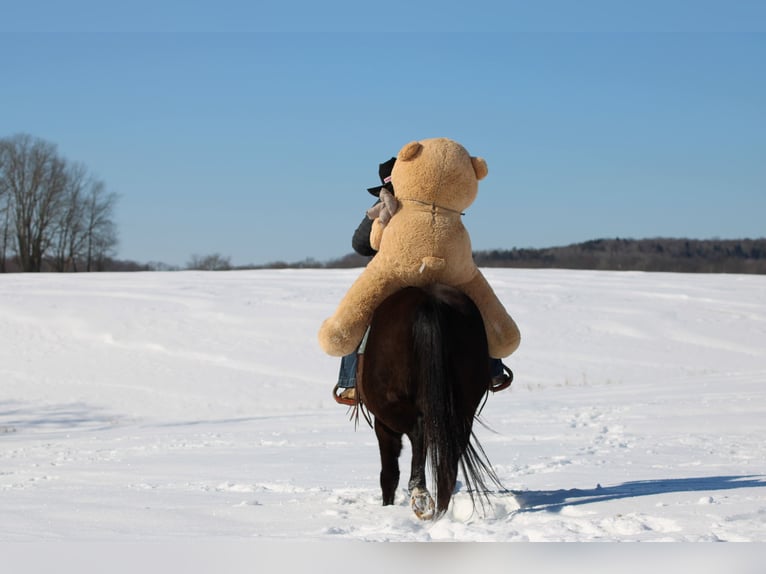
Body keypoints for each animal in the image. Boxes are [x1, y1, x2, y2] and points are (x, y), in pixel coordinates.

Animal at [355, 283, 506, 520]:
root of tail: (428, 303)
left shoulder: (383, 424)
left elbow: (389, 474)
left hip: (391, 407)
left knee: (418, 431)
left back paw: (420, 494)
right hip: (463, 410)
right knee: (448, 464)